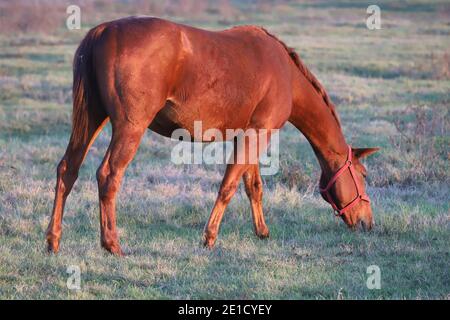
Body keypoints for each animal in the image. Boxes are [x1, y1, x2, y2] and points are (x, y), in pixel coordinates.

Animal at [45, 16, 378, 255]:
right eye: (362, 174)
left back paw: (53, 241)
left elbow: (252, 186)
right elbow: (228, 186)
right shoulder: (259, 133)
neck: (286, 74)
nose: (367, 222)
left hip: (91, 119)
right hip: (129, 127)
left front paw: (262, 232)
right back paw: (112, 244)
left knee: (68, 170)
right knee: (109, 175)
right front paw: (209, 237)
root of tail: (102, 32)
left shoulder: (246, 134)